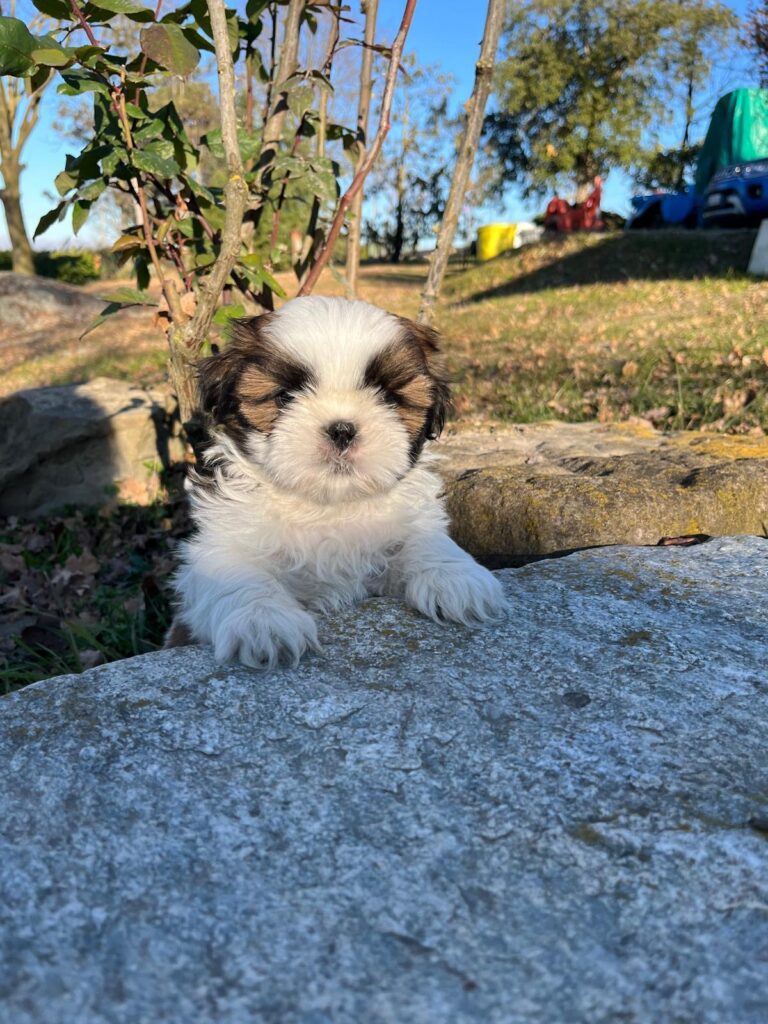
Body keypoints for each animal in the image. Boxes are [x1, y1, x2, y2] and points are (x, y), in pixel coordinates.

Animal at [169, 296, 505, 667]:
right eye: (285, 397)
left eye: (388, 398)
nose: (342, 430)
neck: (329, 507)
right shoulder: (220, 543)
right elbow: (236, 573)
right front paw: (262, 620)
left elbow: (425, 539)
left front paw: (456, 576)